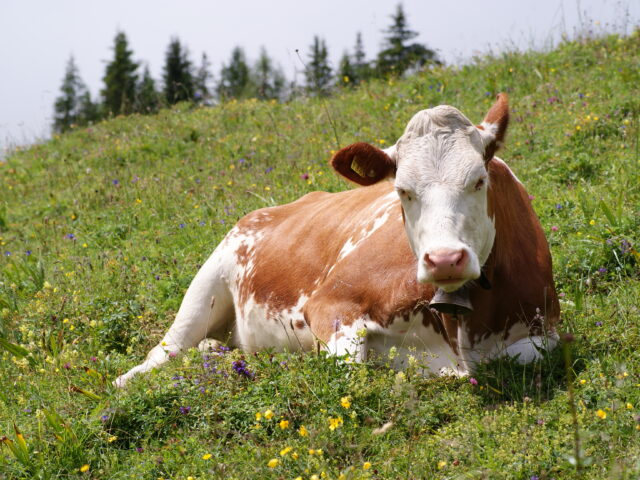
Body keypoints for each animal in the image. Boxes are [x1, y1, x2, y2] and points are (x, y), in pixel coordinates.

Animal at [114, 93, 560, 387]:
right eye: (402, 191)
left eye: (479, 180)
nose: (445, 259)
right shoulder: (330, 304)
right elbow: (350, 366)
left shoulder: (546, 330)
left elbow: (529, 355)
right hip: (207, 283)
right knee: (164, 352)